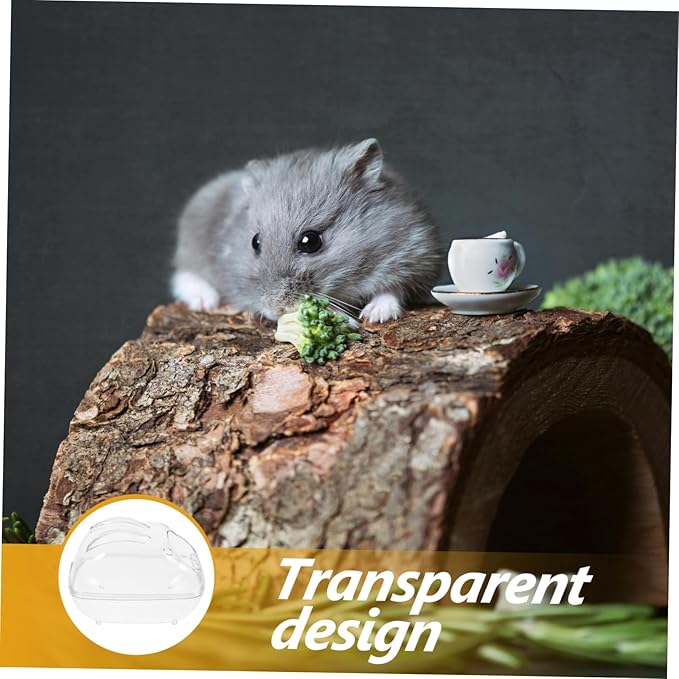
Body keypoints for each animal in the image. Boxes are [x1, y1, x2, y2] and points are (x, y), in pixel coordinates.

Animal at [171, 138, 442, 323]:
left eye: (310, 241)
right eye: (255, 242)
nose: (276, 310)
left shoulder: (415, 253)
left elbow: (392, 290)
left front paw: (374, 316)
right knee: (184, 274)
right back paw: (205, 302)